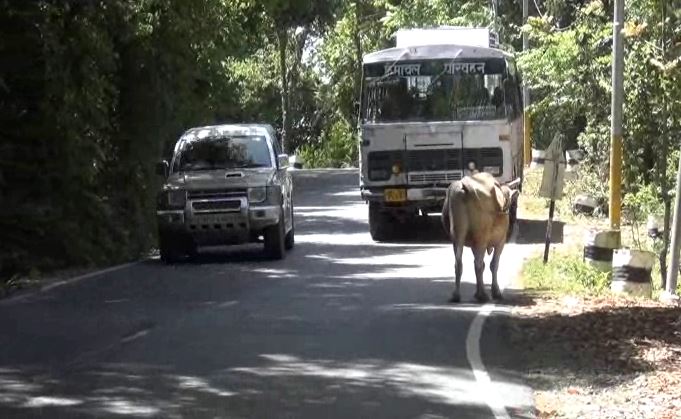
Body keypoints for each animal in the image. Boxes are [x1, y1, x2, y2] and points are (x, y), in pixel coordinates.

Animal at [438, 172, 516, 304]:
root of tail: (463, 185)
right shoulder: (500, 241)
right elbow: (493, 265)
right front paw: (496, 292)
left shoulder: (474, 244)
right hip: (481, 238)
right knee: (478, 264)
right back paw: (482, 295)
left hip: (458, 235)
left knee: (459, 263)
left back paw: (456, 295)